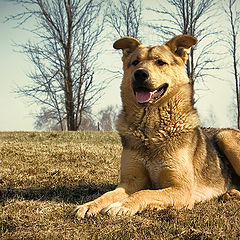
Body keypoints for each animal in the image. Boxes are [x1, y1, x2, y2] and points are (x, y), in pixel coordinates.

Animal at [73, 35, 240, 218]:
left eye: (160, 62)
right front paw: (90, 204)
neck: (150, 131)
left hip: (226, 137)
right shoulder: (130, 182)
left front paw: (123, 205)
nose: (140, 73)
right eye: (135, 62)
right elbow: (108, 194)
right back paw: (230, 193)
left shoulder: (181, 189)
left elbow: (145, 193)